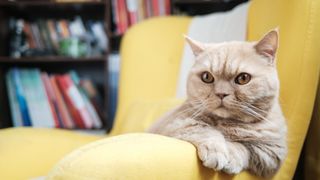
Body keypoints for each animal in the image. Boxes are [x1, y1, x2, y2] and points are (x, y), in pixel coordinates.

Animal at [148, 28, 288, 176]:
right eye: (207, 77)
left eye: (243, 78)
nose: (221, 93)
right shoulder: (174, 123)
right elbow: (204, 129)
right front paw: (216, 151)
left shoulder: (272, 153)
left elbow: (243, 146)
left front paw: (231, 155)